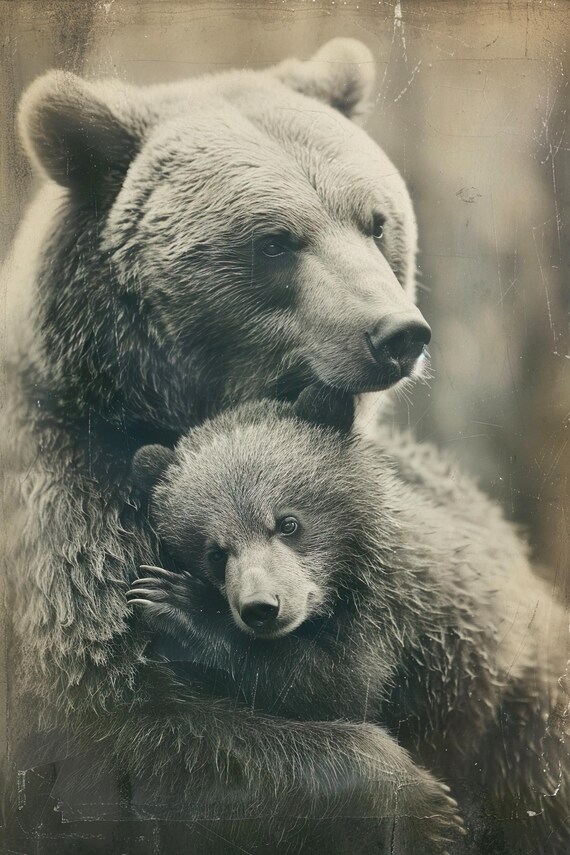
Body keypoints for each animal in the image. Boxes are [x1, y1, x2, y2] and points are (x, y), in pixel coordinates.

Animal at [1, 39, 435, 854]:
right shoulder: (69, 514)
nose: (398, 334)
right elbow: (137, 725)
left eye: (375, 221)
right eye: (275, 242)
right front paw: (415, 798)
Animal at [126, 384, 570, 855]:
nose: (261, 608)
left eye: (287, 522)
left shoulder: (395, 614)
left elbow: (347, 686)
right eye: (215, 551)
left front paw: (178, 603)